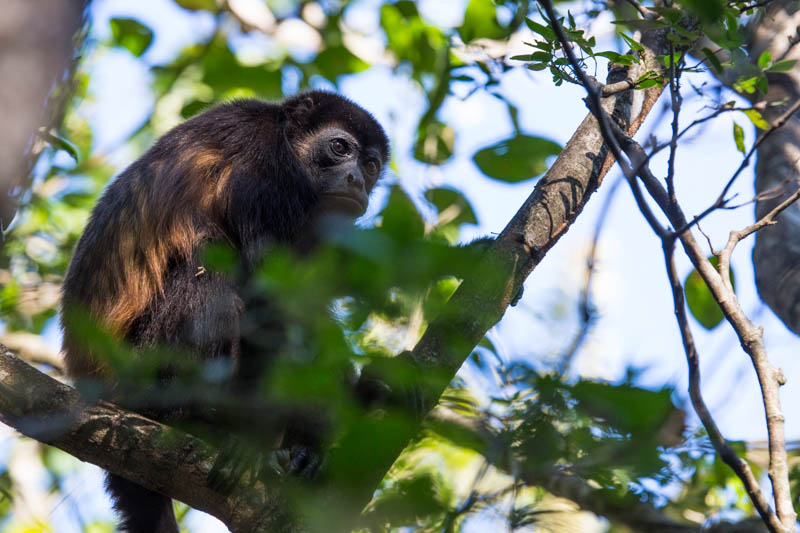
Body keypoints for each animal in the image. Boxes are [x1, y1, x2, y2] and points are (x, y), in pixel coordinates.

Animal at [60, 91, 390, 532]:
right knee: (207, 274)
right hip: (135, 371)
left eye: (371, 166)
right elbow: (270, 301)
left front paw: (314, 443)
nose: (356, 180)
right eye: (340, 148)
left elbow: (305, 309)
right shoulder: (264, 167)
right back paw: (184, 419)